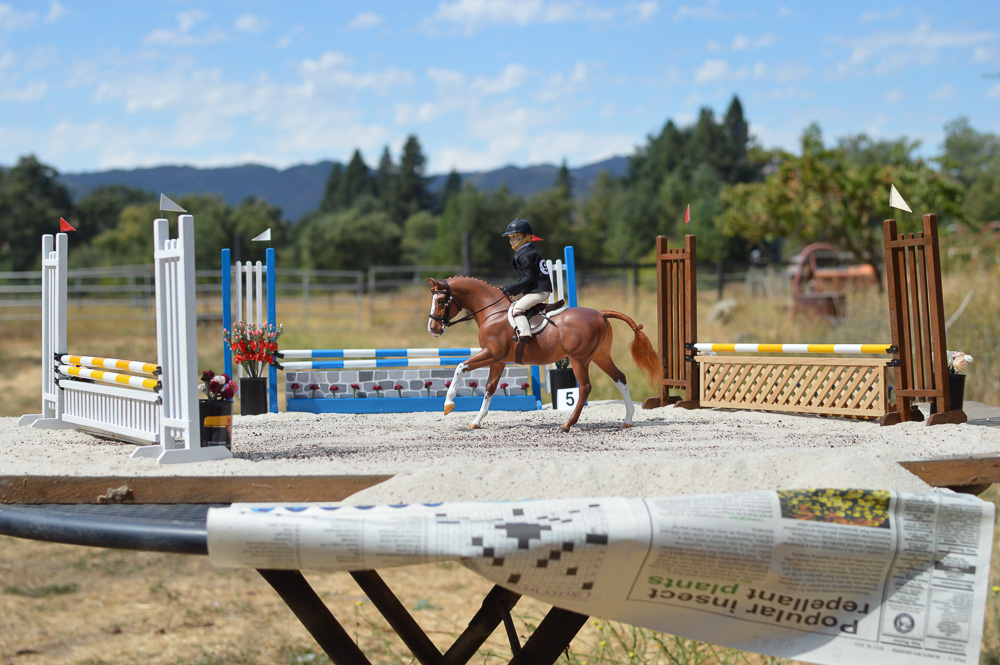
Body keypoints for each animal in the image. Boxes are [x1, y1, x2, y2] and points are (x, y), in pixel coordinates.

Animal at [426, 274, 660, 430]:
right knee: (619, 377)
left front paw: (448, 404)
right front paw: (476, 421)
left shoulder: (491, 354)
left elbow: (460, 367)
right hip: (600, 356)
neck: (492, 312)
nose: (433, 329)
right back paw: (628, 419)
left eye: (441, 301)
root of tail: (600, 313)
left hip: (579, 359)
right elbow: (490, 388)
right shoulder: (498, 360)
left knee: (585, 387)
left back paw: (567, 425)